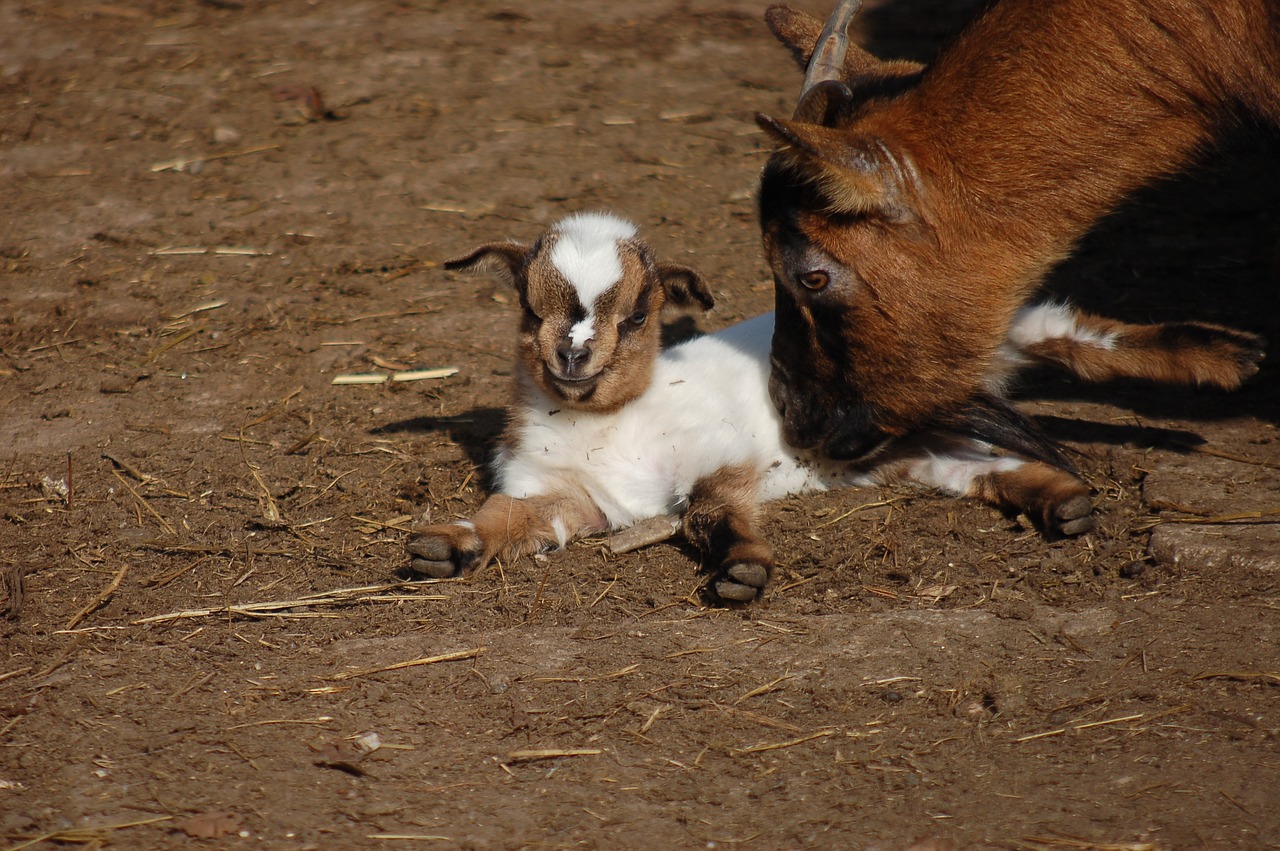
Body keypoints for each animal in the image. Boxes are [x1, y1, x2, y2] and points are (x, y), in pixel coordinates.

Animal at [412, 212, 1249, 604]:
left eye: (642, 311)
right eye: (529, 306)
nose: (574, 359)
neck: (610, 429)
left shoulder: (721, 458)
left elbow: (708, 514)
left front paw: (743, 572)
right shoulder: (567, 498)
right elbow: (504, 519)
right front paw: (442, 548)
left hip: (978, 355)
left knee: (1072, 334)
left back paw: (1225, 355)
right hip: (906, 448)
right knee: (981, 467)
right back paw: (1065, 504)